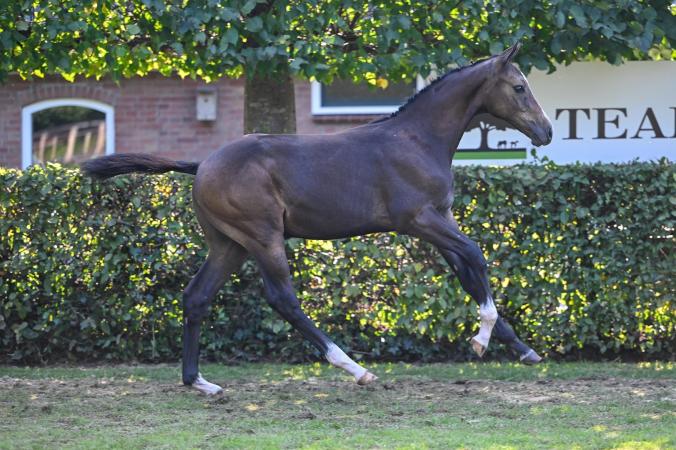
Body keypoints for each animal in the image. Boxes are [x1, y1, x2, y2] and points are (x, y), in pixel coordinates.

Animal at [82, 42, 552, 394]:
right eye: (519, 87)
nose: (546, 132)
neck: (417, 139)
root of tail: (201, 166)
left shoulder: (440, 219)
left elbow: (468, 272)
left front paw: (520, 349)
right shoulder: (419, 219)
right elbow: (476, 255)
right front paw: (481, 338)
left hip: (228, 243)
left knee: (197, 296)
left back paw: (199, 382)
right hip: (262, 236)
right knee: (283, 299)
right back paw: (355, 368)